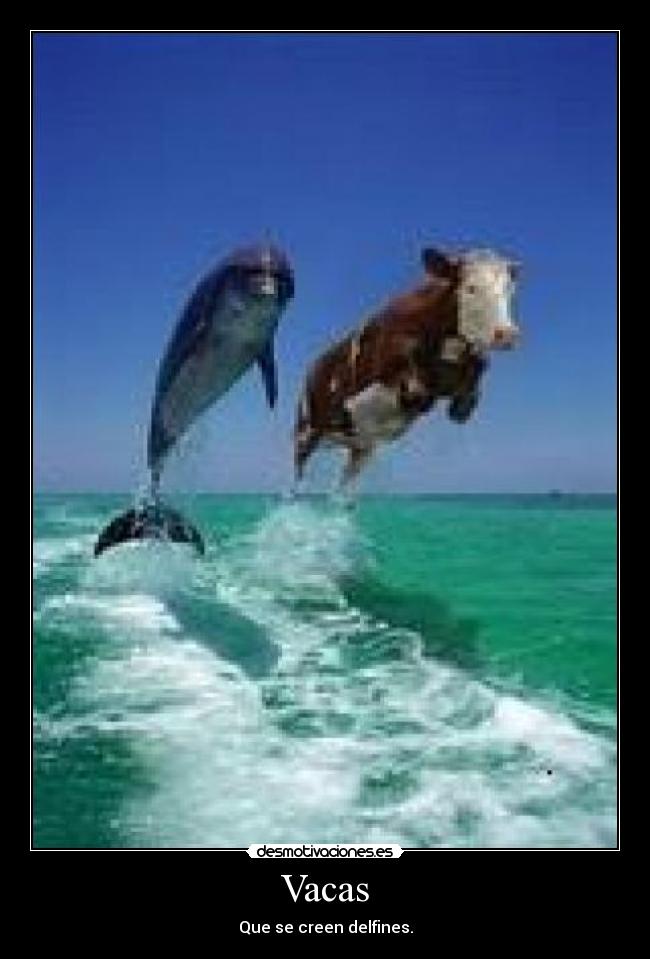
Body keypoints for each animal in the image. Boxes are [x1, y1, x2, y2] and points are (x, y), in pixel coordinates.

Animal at [293, 247, 520, 487]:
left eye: (509, 290)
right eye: (471, 288)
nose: (507, 334)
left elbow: (477, 372)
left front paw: (463, 403)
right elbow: (408, 376)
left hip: (360, 448)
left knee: (344, 482)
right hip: (305, 431)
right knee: (298, 473)